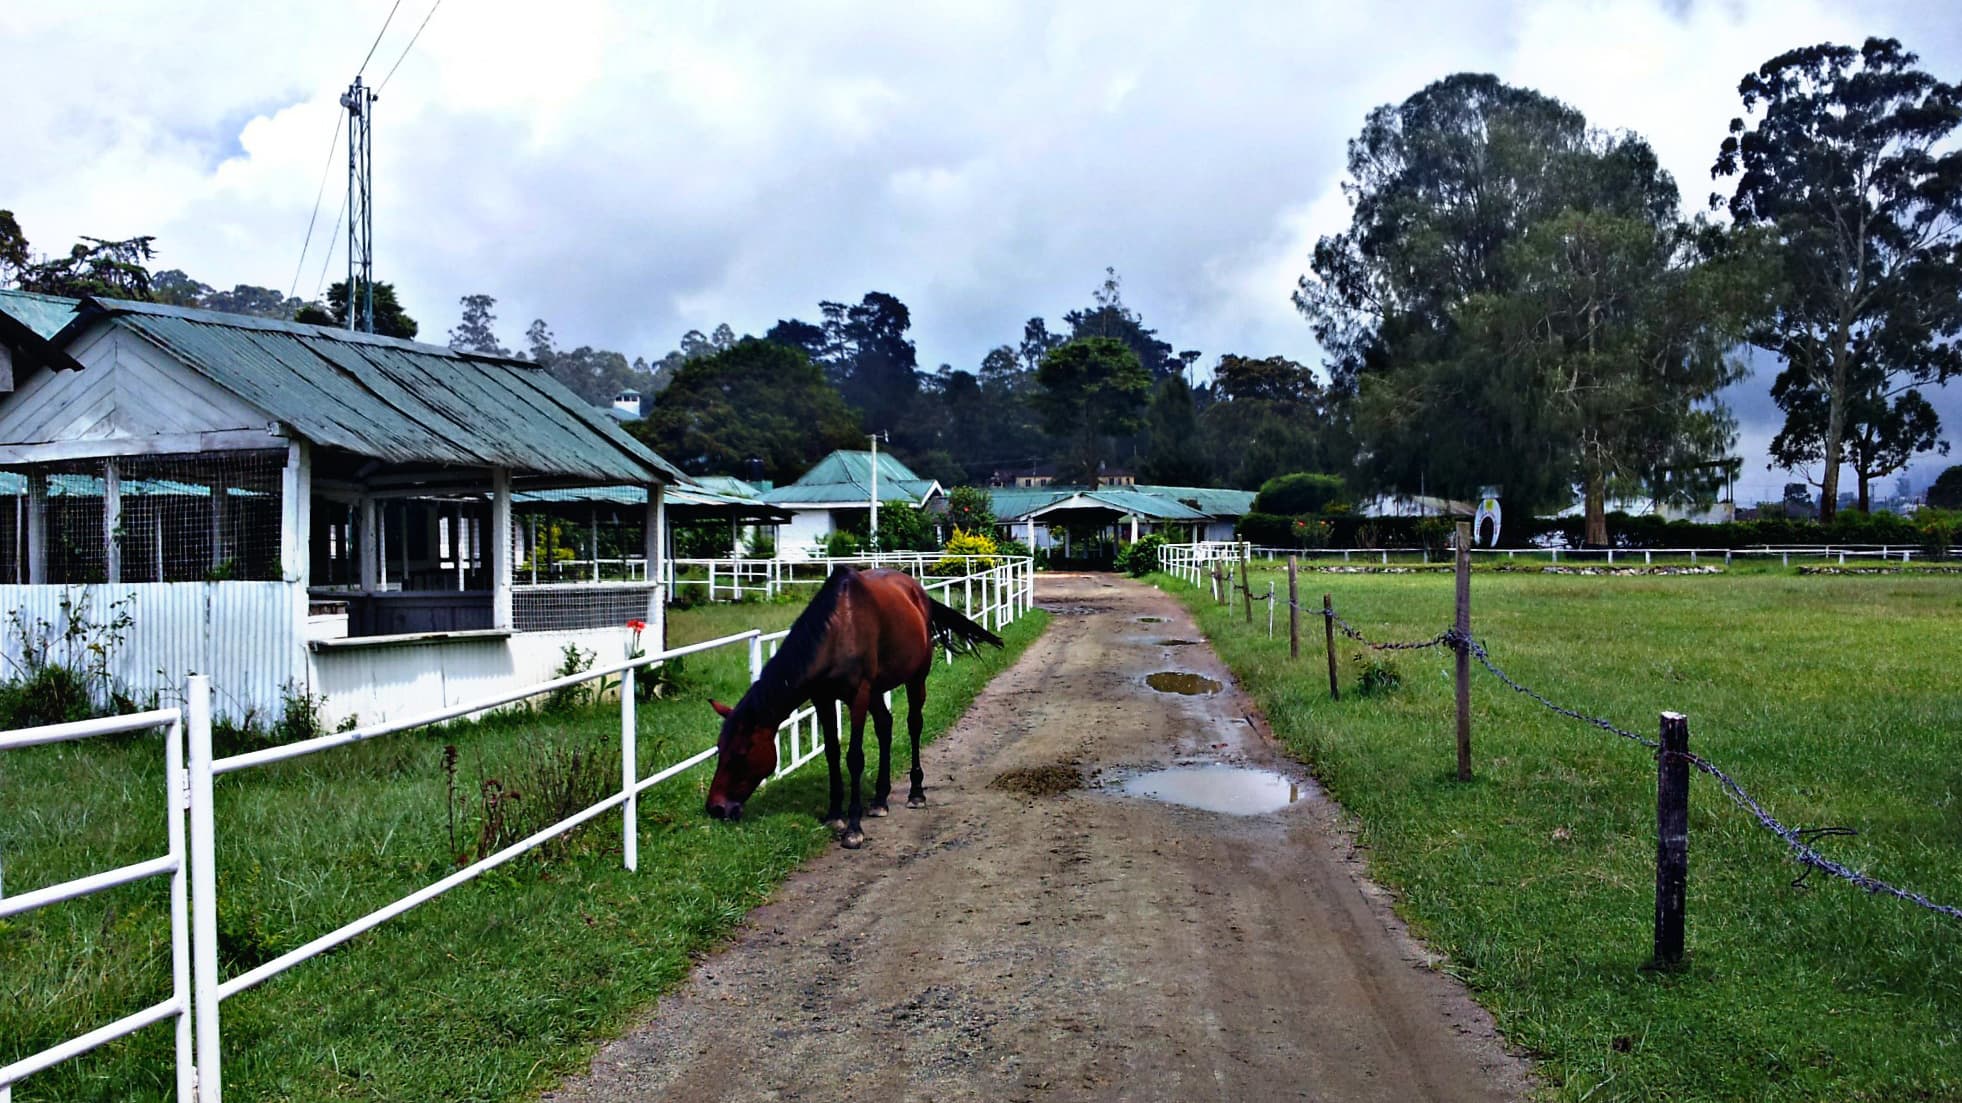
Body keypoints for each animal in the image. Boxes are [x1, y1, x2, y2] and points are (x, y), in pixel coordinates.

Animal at [705, 566, 1004, 848]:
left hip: (916, 678)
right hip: (878, 689)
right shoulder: (823, 698)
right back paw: (880, 799)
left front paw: (853, 828)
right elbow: (832, 752)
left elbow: (854, 757)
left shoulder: (858, 696)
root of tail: (917, 591)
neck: (837, 630)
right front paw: (834, 814)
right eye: (720, 748)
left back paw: (916, 792)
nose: (715, 808)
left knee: (914, 725)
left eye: (741, 753)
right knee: (885, 726)